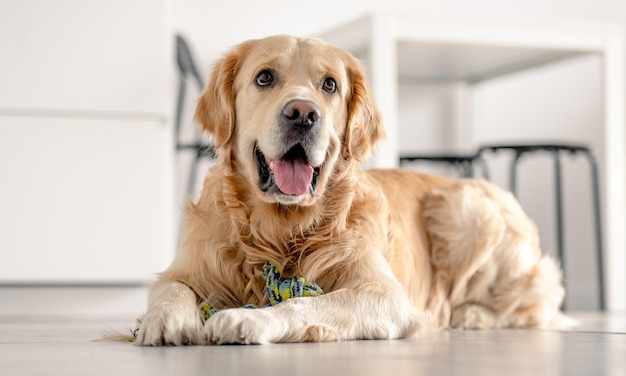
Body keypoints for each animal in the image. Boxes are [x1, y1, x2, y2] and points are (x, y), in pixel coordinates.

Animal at [135, 36, 572, 346]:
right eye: (264, 78)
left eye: (330, 85)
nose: (302, 113)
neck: (282, 229)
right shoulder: (188, 266)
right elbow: (168, 290)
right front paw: (166, 320)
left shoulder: (385, 294)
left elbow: (303, 301)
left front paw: (249, 317)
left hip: (465, 206)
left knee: (536, 306)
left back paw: (471, 315)